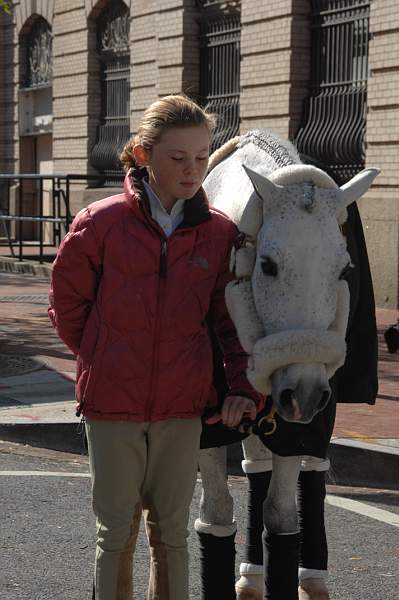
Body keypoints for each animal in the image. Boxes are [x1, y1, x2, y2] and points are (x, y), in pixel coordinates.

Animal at [196, 131, 378, 600]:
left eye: (344, 269)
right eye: (268, 264)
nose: (305, 394)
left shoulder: (301, 423)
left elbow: (281, 516)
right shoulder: (207, 422)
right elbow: (216, 513)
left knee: (313, 472)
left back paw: (312, 577)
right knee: (256, 469)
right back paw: (250, 574)